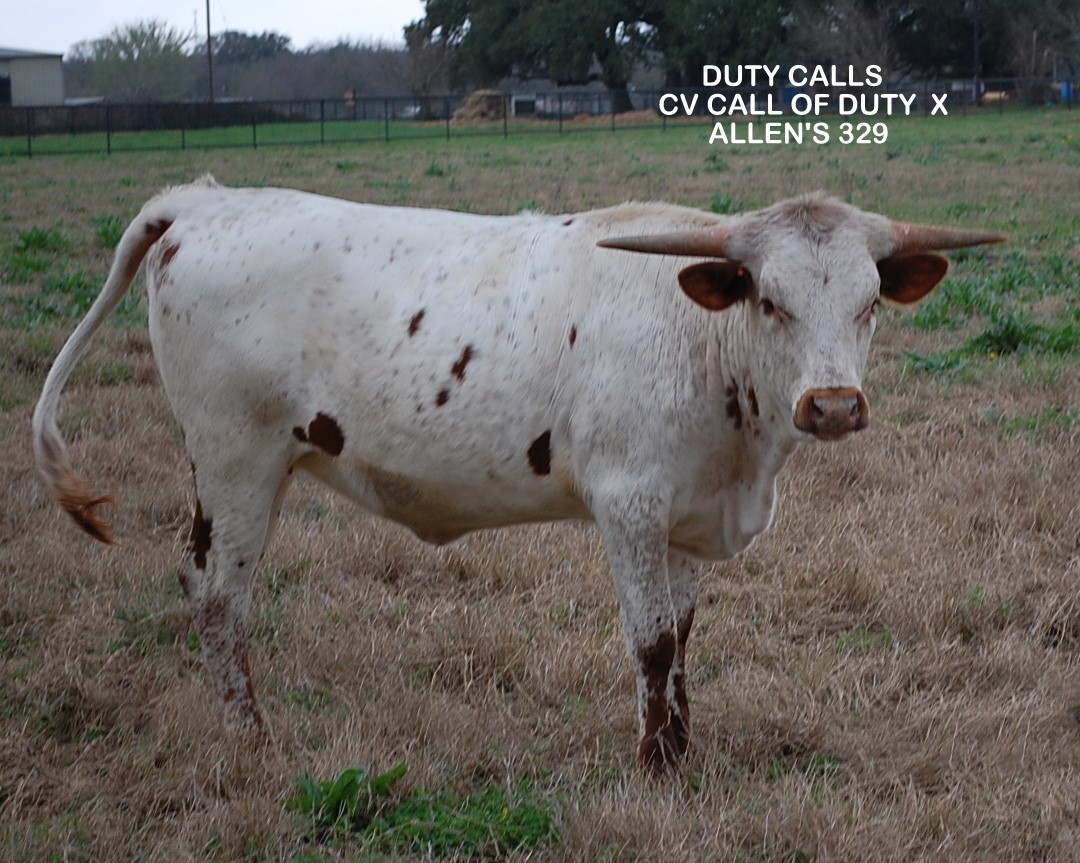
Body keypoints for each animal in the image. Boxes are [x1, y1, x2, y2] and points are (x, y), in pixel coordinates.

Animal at [32, 177, 1004, 773]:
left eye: (869, 303)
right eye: (771, 300)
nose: (833, 406)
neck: (703, 343)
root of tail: (204, 201)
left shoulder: (688, 518)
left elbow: (684, 638)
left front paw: (683, 751)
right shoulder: (629, 504)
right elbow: (652, 643)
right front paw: (656, 770)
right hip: (237, 460)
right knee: (215, 591)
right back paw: (252, 740)